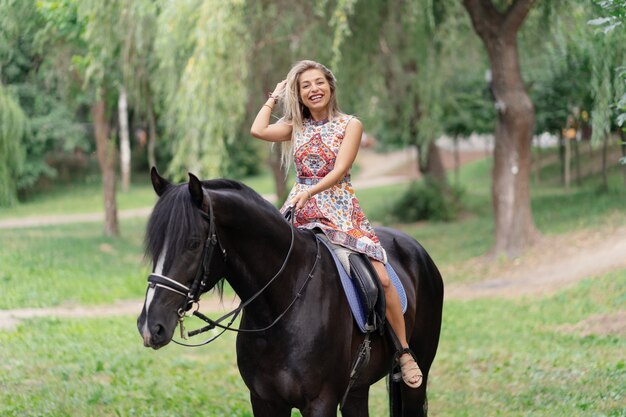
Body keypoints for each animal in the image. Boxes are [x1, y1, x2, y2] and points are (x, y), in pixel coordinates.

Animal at [137, 168, 442, 416]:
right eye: (155, 244)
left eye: (193, 243)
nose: (150, 326)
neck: (283, 304)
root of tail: (416, 249)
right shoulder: (264, 402)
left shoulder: (320, 402)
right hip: (357, 390)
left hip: (416, 380)